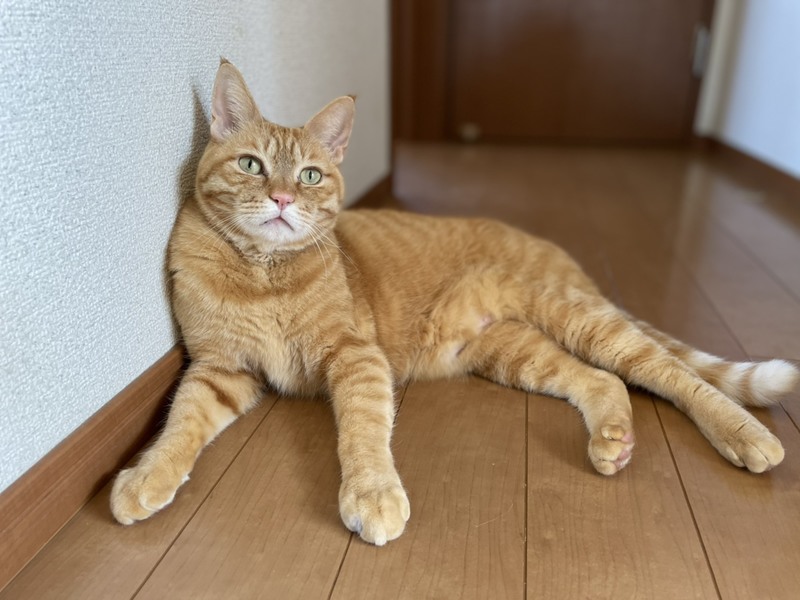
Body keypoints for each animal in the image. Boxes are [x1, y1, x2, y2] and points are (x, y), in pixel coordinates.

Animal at [110, 59, 799, 546]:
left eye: (309, 175)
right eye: (252, 166)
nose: (281, 199)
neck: (264, 273)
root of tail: (560, 253)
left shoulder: (356, 358)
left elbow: (363, 432)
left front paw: (371, 495)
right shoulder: (220, 370)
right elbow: (181, 422)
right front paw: (148, 476)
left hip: (580, 318)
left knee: (671, 372)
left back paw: (745, 436)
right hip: (512, 352)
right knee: (602, 381)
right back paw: (613, 439)